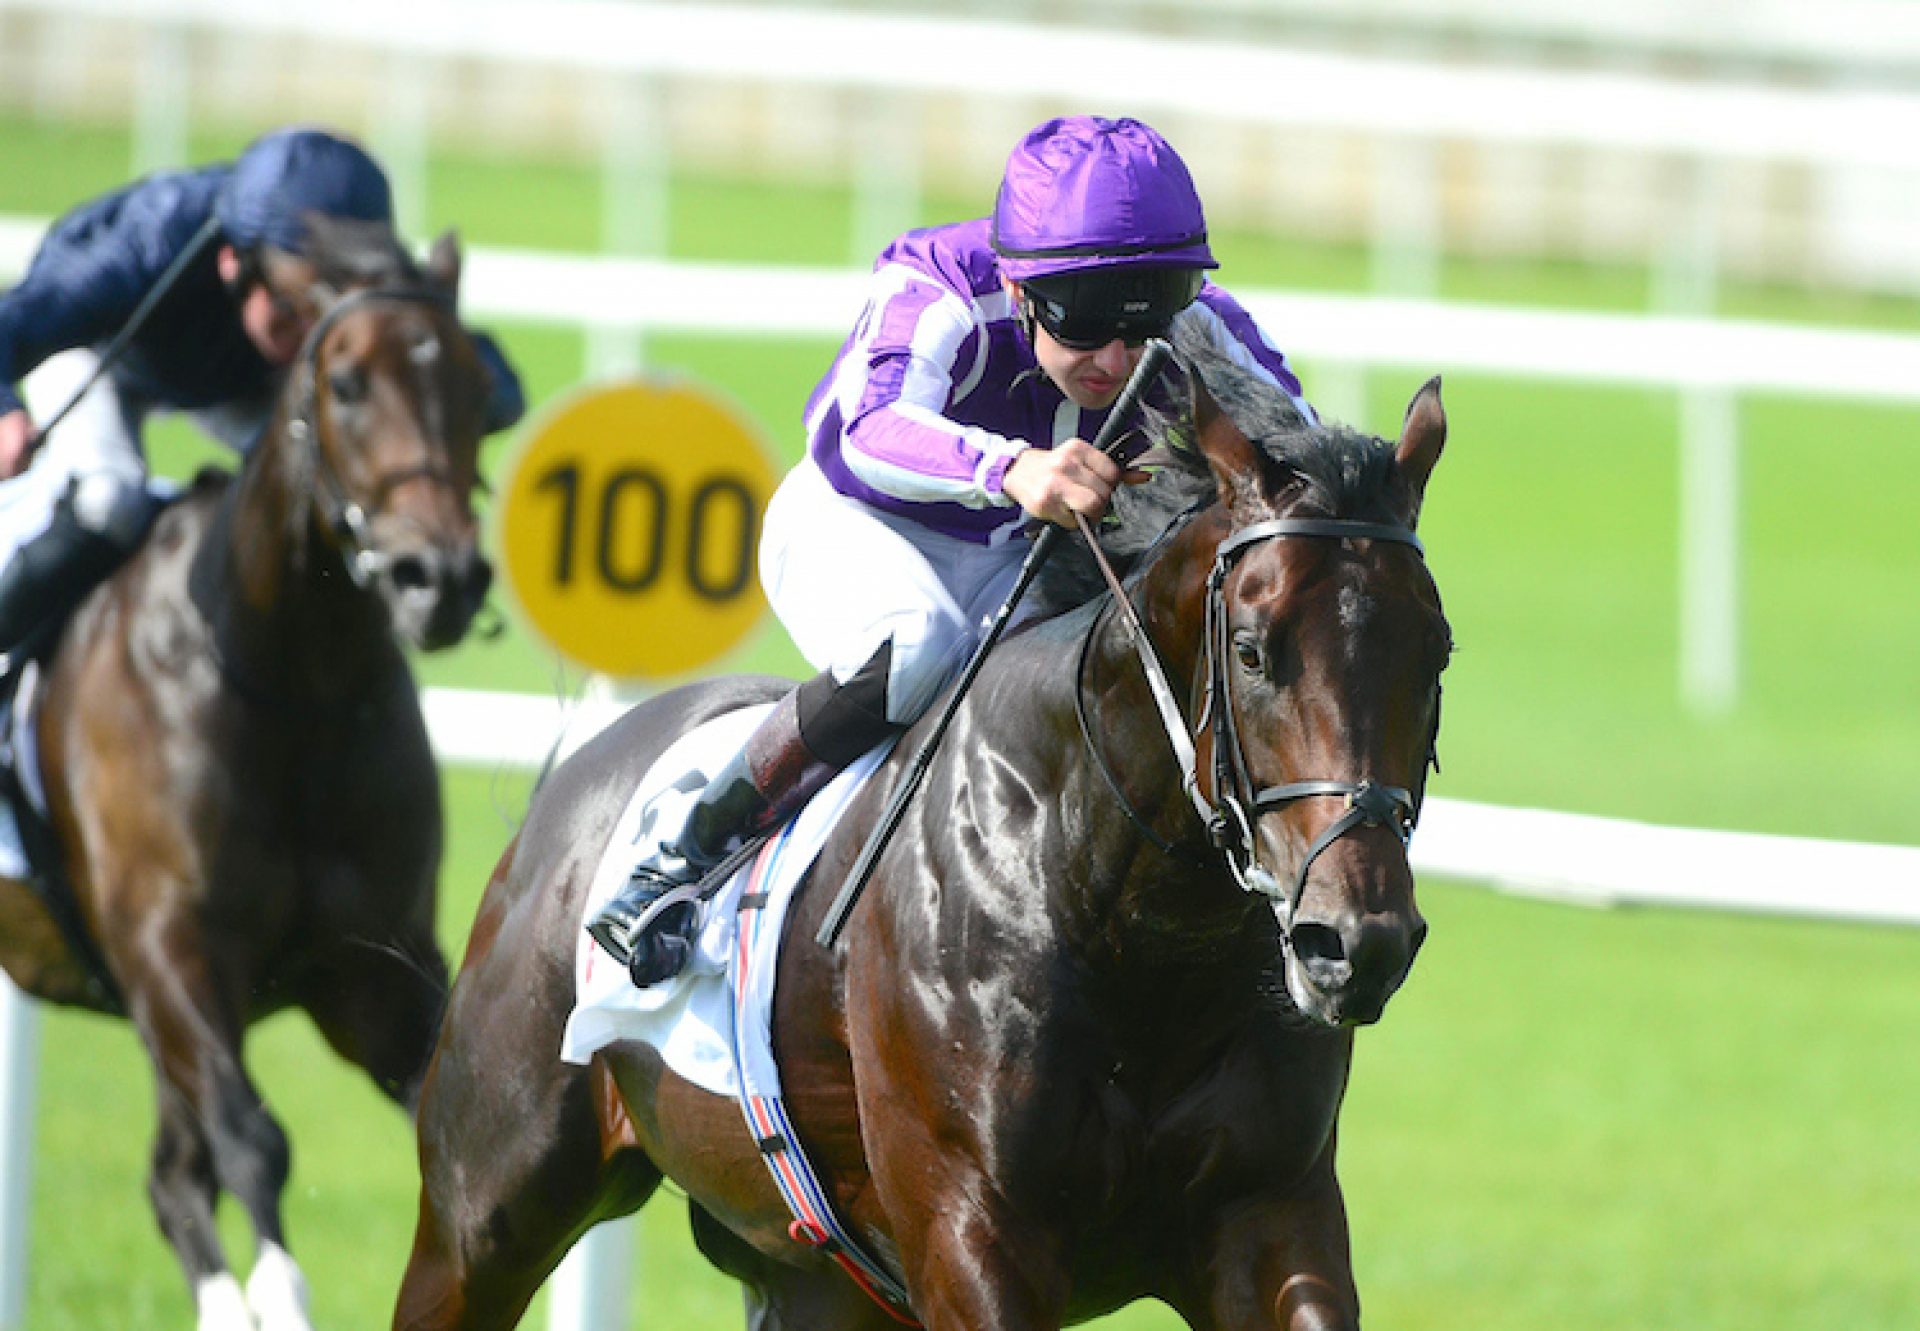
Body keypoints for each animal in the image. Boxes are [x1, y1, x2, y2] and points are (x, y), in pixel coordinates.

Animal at [0, 220, 503, 1329]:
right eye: (346, 381)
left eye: (477, 386)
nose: (439, 579)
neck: (289, 688)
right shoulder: (169, 952)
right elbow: (251, 1139)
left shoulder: (376, 970)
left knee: (171, 1179)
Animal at [397, 334, 1443, 1329]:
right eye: (1253, 651)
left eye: (1436, 651)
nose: (1357, 941)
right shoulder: (972, 1228)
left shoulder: (1269, 1210)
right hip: (483, 1209)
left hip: (819, 1281)